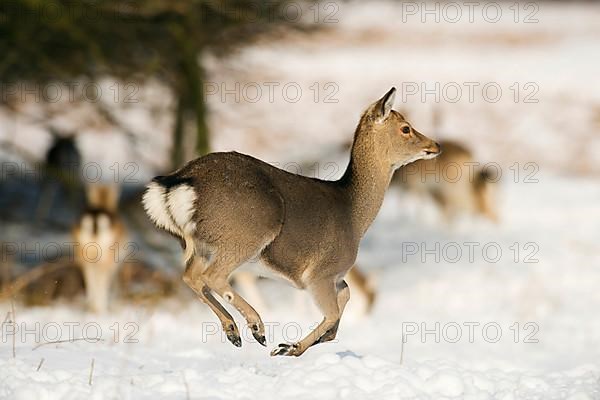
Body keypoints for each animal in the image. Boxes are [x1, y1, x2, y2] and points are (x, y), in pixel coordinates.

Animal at [142, 89, 438, 358]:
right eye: (405, 128)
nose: (435, 146)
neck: (354, 216)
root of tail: (178, 181)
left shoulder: (335, 276)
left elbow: (345, 297)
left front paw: (310, 341)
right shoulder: (321, 272)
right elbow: (333, 311)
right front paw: (290, 347)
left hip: (200, 245)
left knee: (190, 276)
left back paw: (233, 331)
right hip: (245, 234)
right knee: (212, 276)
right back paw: (257, 327)